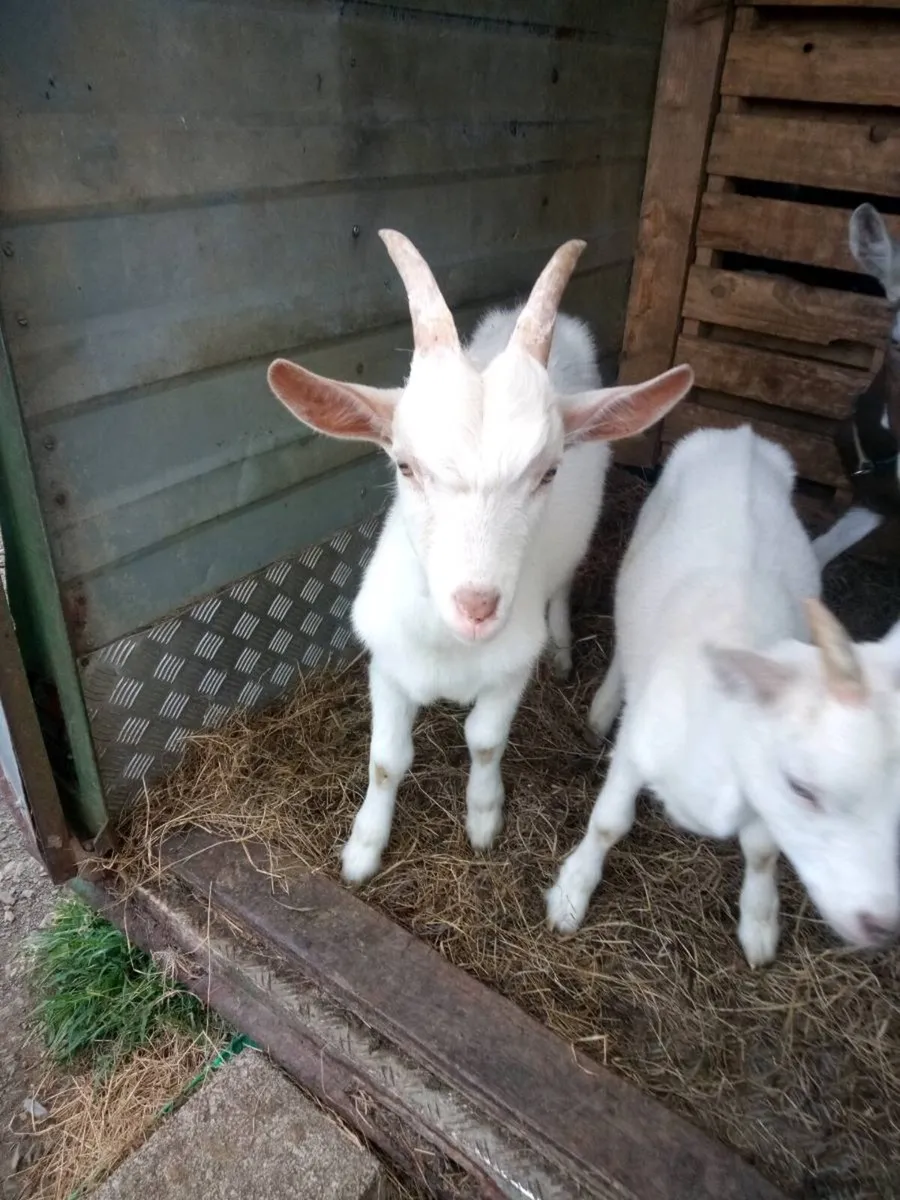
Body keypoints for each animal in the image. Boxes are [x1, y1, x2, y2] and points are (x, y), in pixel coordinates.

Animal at [267, 231, 694, 883]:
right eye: (404, 465)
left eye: (548, 472)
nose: (477, 606)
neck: (449, 650)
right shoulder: (386, 662)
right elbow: (386, 759)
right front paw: (363, 851)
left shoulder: (509, 670)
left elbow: (486, 740)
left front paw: (484, 819)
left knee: (562, 586)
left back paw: (563, 649)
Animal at [546, 425, 900, 965]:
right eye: (802, 787)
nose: (881, 924)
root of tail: (742, 436)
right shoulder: (638, 747)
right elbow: (609, 822)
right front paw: (570, 895)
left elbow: (762, 851)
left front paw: (759, 923)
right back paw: (604, 708)